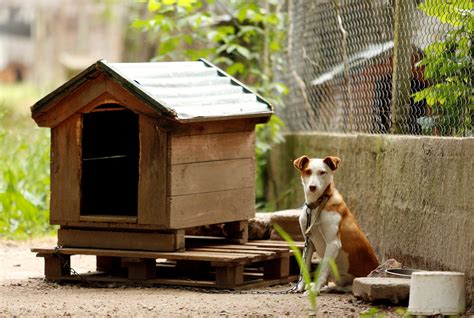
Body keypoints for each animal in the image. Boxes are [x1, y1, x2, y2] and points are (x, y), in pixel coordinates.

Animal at [292, 155, 378, 292]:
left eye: (322, 172)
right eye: (308, 171)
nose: (312, 187)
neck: (317, 205)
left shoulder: (333, 243)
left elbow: (322, 271)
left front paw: (315, 290)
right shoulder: (309, 242)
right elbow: (304, 267)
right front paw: (300, 287)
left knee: (343, 287)